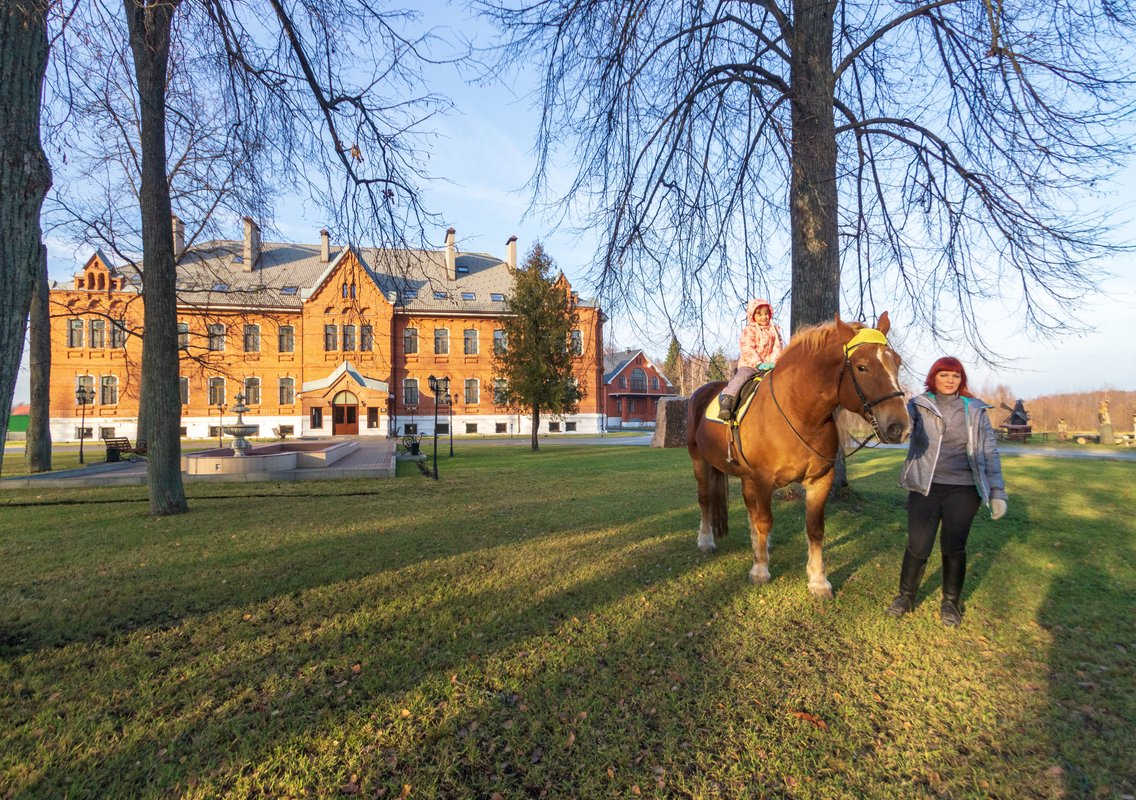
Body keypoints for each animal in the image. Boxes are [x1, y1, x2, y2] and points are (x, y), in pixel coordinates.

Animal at [681, 311, 913, 595]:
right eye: (861, 367)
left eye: (897, 362)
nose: (900, 427)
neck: (798, 413)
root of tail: (702, 392)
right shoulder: (763, 479)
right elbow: (765, 520)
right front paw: (760, 571)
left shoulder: (820, 481)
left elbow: (814, 528)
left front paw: (818, 580)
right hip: (700, 462)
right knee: (705, 500)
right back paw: (706, 541)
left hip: (745, 476)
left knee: (749, 508)